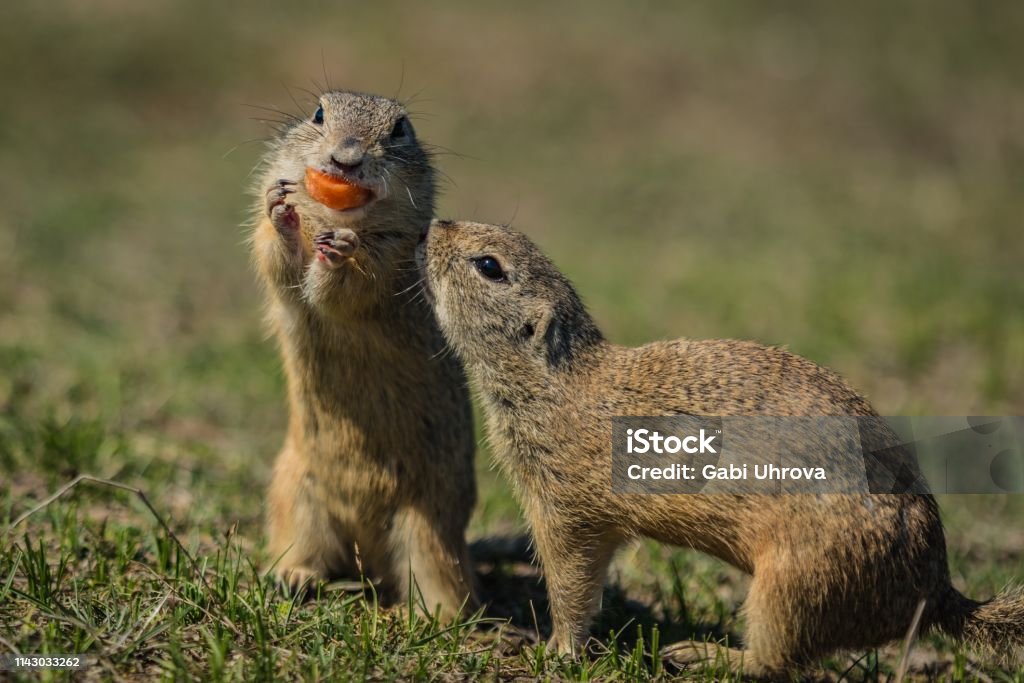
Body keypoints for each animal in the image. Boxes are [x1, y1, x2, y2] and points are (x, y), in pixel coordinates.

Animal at [247, 88, 475, 618]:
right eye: (318, 113)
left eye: (401, 129)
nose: (344, 160)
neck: (337, 217)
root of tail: (364, 547)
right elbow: (276, 259)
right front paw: (282, 211)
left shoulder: (389, 263)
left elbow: (348, 289)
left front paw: (338, 254)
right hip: (295, 497)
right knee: (309, 552)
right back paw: (293, 575)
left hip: (426, 529)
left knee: (449, 588)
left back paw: (423, 616)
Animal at [415, 220, 1024, 679]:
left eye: (489, 265)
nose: (434, 224)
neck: (560, 385)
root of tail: (937, 590)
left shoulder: (566, 508)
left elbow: (572, 583)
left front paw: (553, 650)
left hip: (791, 586)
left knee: (775, 662)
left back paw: (700, 653)